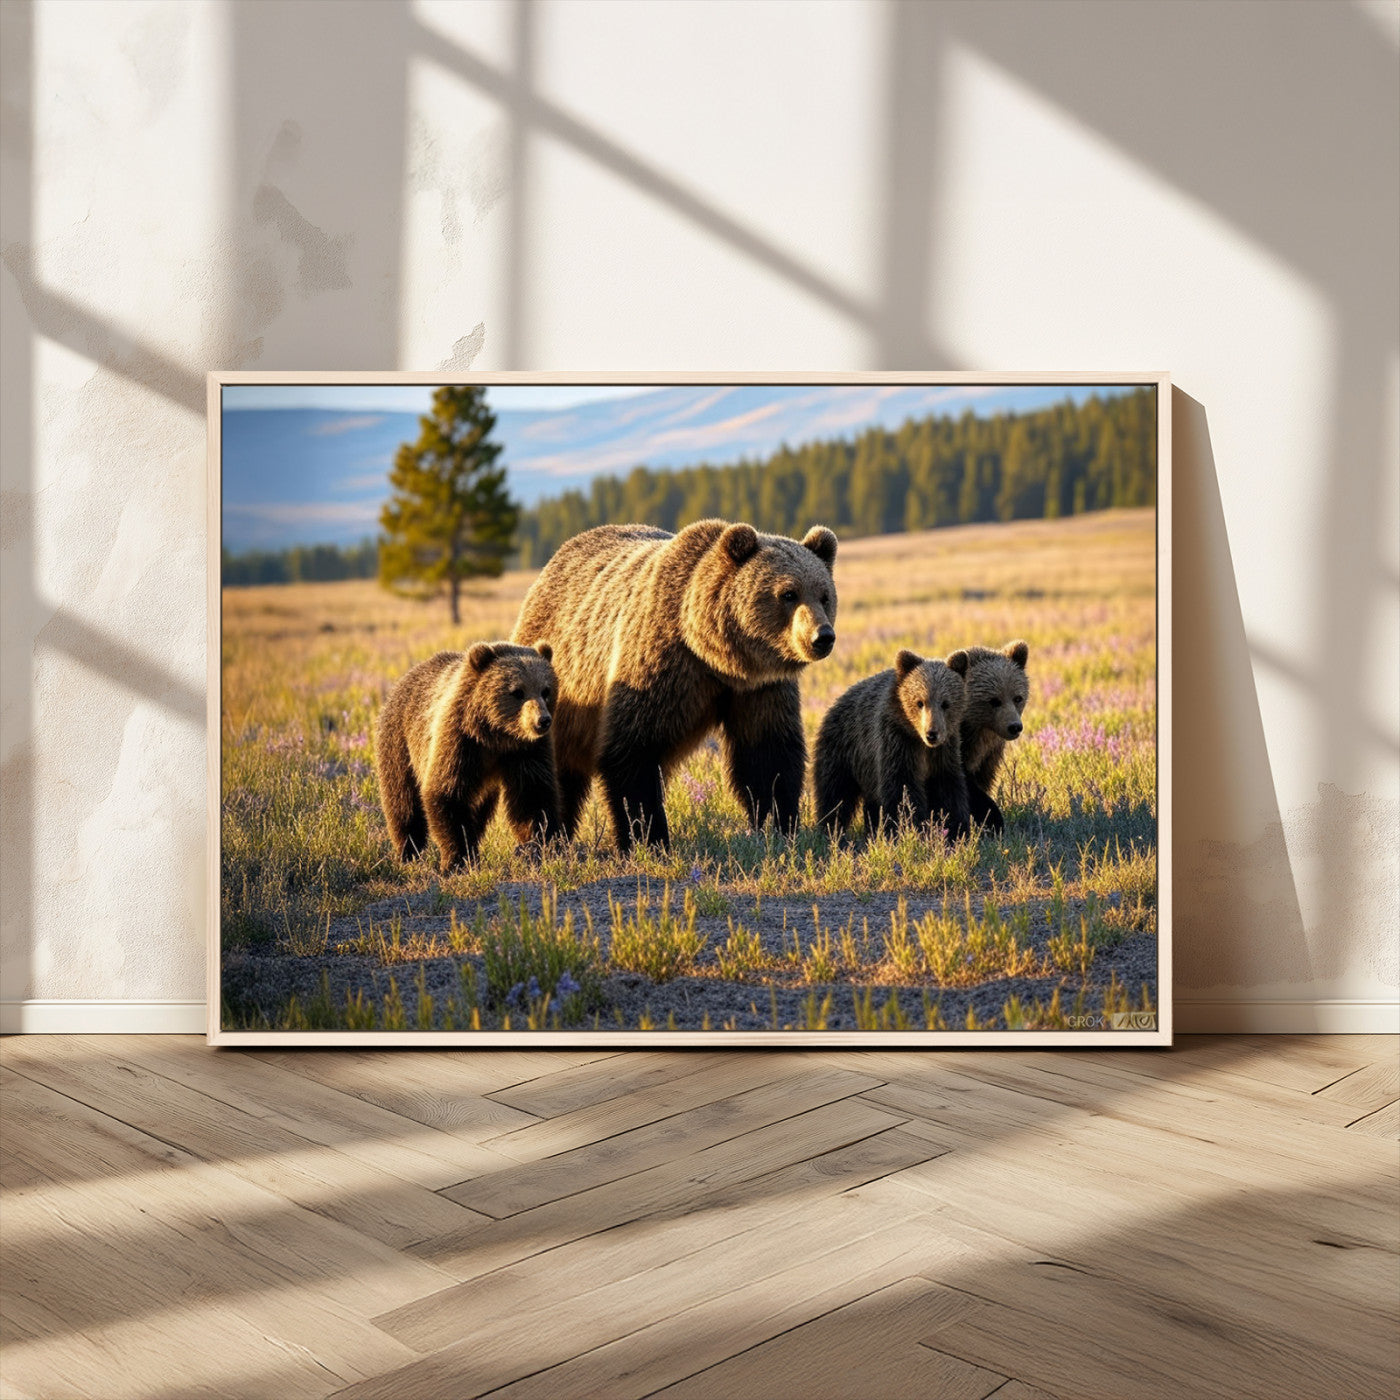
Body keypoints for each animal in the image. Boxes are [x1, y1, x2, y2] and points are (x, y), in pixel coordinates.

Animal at [374, 642, 559, 873]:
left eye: (546, 690)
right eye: (517, 691)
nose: (542, 720)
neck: (496, 736)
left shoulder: (527, 751)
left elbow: (533, 796)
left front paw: (540, 846)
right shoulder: (460, 741)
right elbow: (447, 792)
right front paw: (457, 859)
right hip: (400, 743)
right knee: (402, 801)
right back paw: (408, 852)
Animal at [510, 518, 838, 852]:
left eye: (824, 595)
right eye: (788, 594)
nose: (822, 637)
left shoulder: (759, 689)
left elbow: (767, 756)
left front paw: (780, 827)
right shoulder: (658, 665)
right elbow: (633, 751)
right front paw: (647, 837)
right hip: (554, 692)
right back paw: (544, 836)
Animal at [813, 648, 972, 840]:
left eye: (945, 703)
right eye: (920, 702)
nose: (932, 734)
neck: (919, 741)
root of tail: (837, 701)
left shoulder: (944, 752)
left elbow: (948, 790)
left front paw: (957, 829)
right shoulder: (896, 743)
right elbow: (902, 789)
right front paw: (910, 828)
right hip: (843, 749)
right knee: (835, 792)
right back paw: (832, 829)